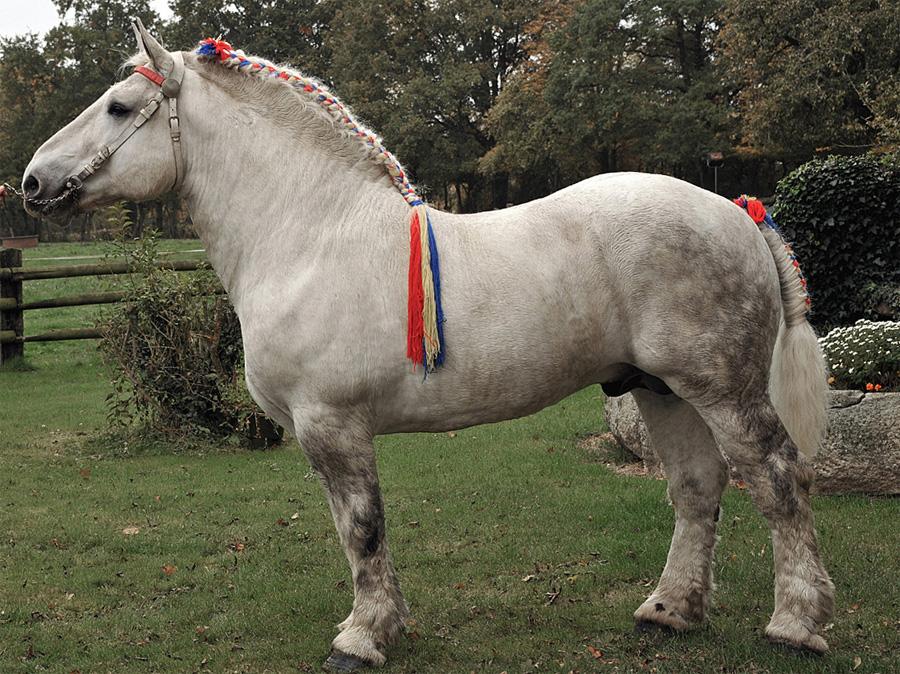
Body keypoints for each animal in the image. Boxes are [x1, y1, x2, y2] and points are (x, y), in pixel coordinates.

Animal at [20, 20, 834, 671]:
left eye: (119, 107)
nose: (31, 182)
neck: (312, 236)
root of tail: (735, 210)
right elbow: (355, 533)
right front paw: (384, 625)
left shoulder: (332, 424)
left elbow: (362, 529)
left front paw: (362, 638)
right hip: (659, 388)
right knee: (698, 487)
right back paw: (669, 612)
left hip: (721, 388)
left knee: (776, 480)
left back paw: (795, 623)